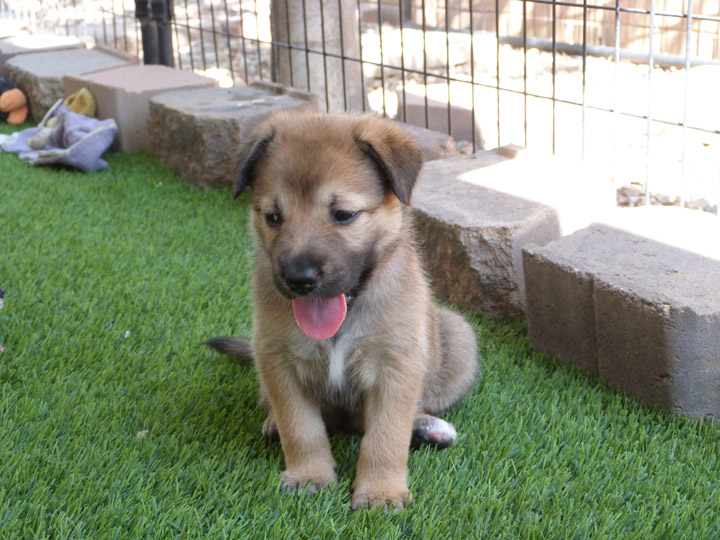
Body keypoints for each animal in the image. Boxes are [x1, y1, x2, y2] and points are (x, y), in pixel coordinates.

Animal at [207, 114, 478, 510]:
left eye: (344, 215)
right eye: (273, 217)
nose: (299, 279)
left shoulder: (396, 365)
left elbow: (386, 437)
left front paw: (380, 491)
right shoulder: (278, 361)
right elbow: (300, 427)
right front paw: (309, 475)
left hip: (458, 339)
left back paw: (428, 428)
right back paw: (273, 423)